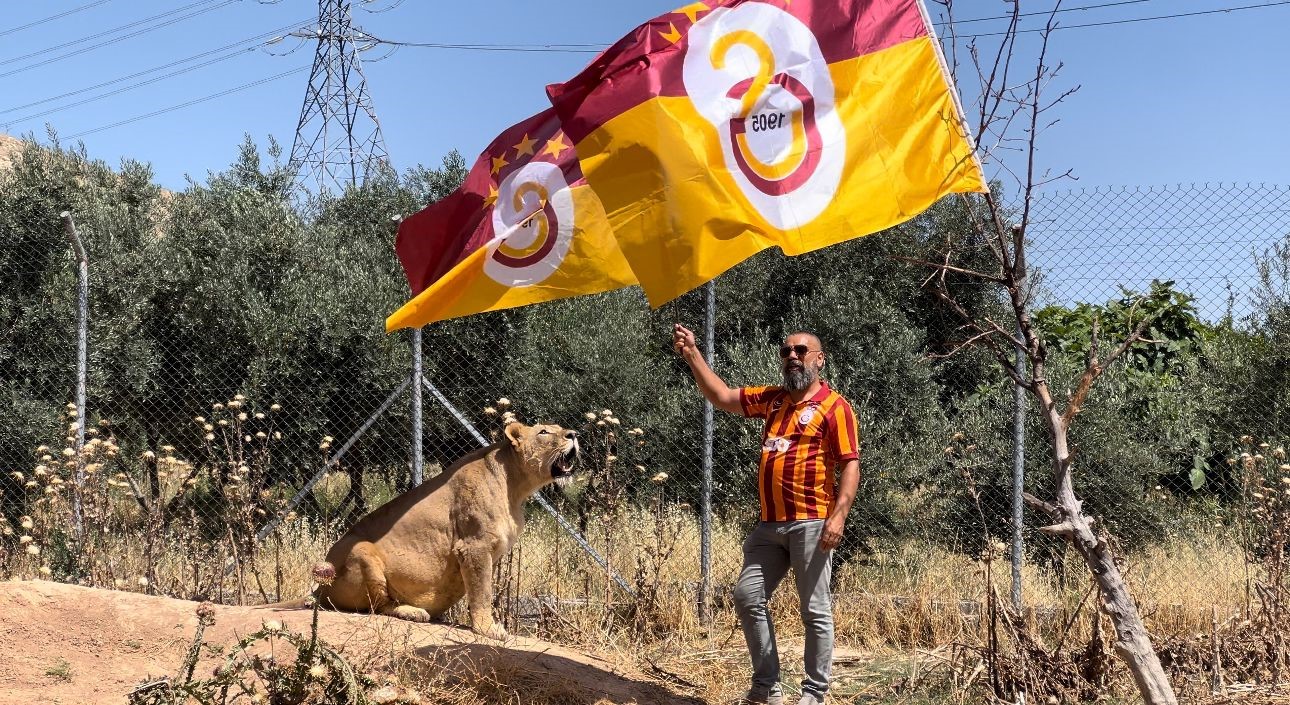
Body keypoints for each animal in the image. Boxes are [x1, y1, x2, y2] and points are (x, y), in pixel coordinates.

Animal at [288, 422, 585, 641]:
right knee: (379, 606)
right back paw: (413, 612)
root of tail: (318, 589)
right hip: (360, 550)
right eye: (544, 432)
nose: (574, 434)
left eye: (559, 428)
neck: (515, 487)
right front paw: (488, 629)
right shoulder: (474, 546)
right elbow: (482, 591)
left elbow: (479, 588)